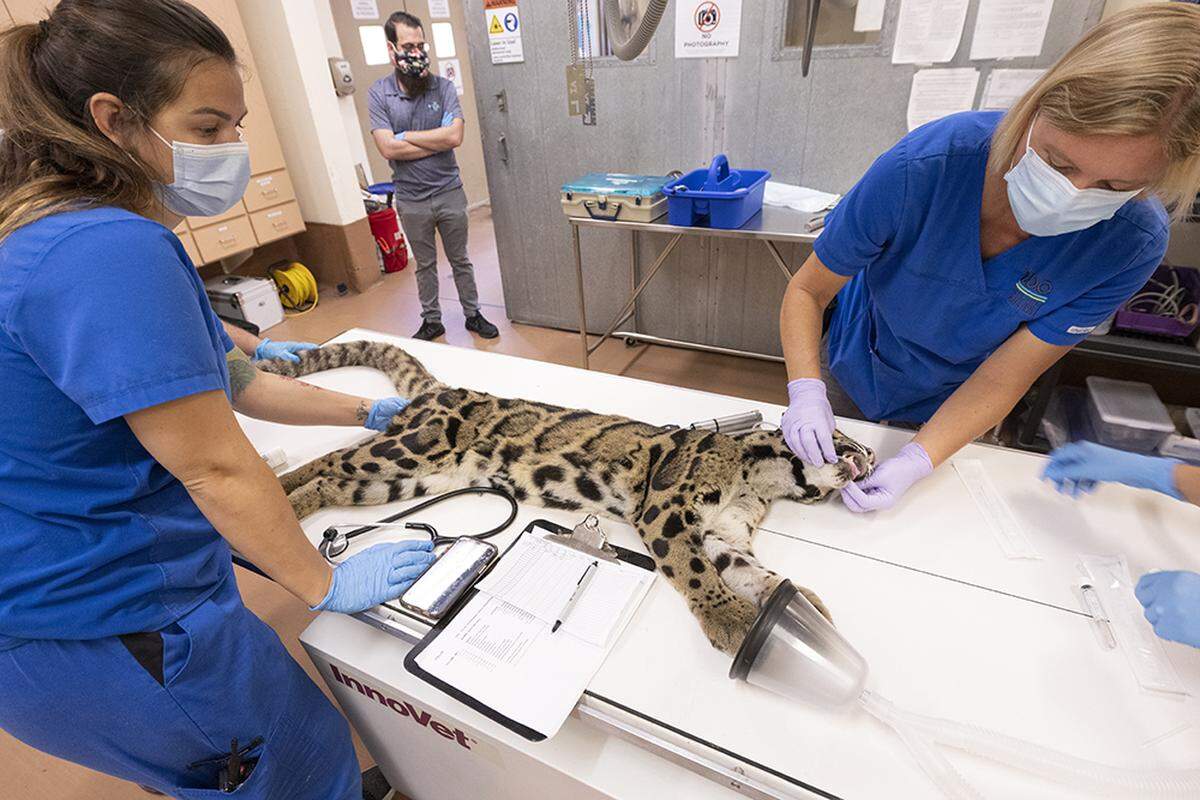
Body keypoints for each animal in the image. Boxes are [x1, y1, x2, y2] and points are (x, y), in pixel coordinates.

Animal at [261, 341, 875, 655]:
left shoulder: (724, 532)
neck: (759, 479)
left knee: (334, 480)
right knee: (331, 461)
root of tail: (445, 390)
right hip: (407, 452)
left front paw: (792, 602)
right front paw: (726, 615)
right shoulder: (667, 508)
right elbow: (694, 568)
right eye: (851, 441)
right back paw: (277, 495)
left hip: (408, 479)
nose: (870, 462)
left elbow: (753, 571)